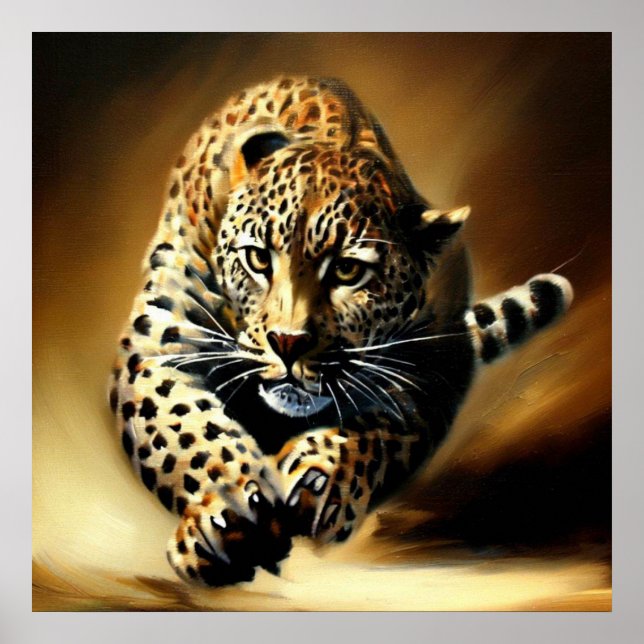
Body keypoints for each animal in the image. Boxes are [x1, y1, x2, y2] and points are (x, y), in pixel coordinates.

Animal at [109, 75, 573, 587]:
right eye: (257, 258)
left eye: (348, 270)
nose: (287, 343)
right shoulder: (162, 342)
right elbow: (183, 426)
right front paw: (231, 512)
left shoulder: (433, 367)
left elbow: (383, 429)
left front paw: (322, 475)